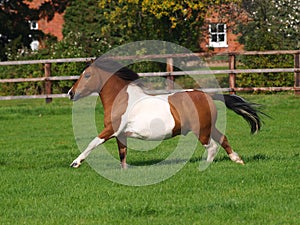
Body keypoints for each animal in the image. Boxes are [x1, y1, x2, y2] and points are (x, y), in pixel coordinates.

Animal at [68, 58, 262, 169]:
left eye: (87, 76)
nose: (70, 93)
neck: (122, 99)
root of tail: (207, 95)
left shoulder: (111, 129)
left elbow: (93, 142)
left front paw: (75, 162)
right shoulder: (121, 135)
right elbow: (122, 154)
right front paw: (124, 171)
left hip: (201, 130)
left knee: (212, 146)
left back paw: (205, 166)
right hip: (209, 127)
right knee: (223, 139)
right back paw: (237, 160)